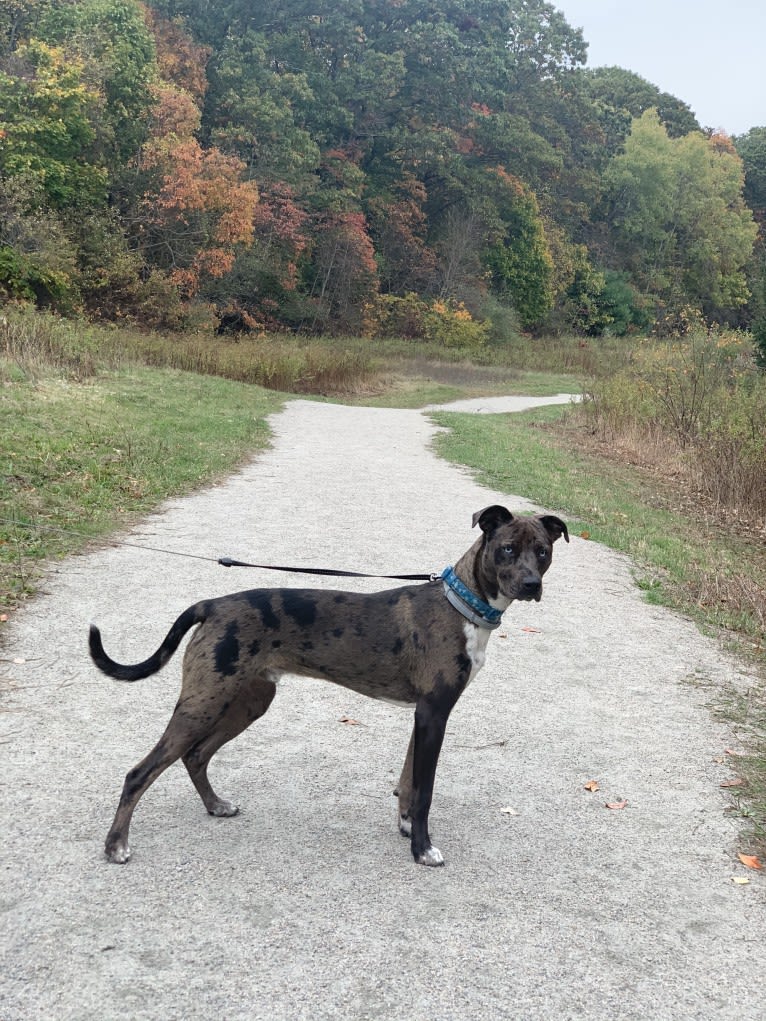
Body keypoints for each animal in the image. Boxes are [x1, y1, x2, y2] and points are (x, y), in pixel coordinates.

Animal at [91, 506, 571, 865]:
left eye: (543, 551)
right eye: (507, 549)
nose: (532, 584)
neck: (461, 605)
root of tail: (212, 604)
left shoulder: (423, 716)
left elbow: (408, 781)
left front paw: (404, 826)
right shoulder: (434, 713)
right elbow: (425, 791)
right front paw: (422, 849)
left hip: (248, 701)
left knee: (196, 756)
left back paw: (215, 805)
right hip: (203, 702)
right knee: (141, 772)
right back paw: (116, 846)